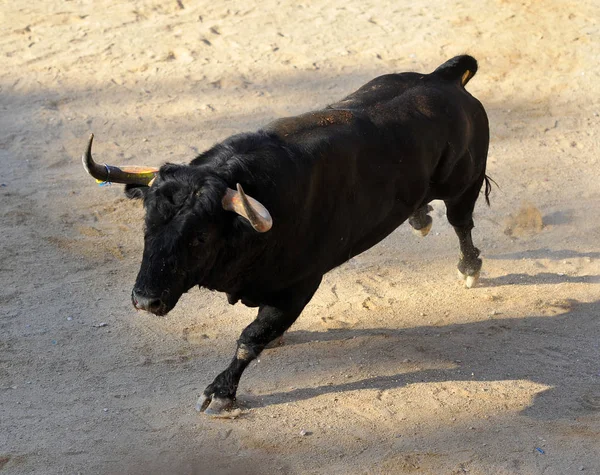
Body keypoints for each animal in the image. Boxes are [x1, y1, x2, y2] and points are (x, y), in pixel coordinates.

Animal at [82, 55, 490, 414]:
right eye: (147, 227)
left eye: (198, 238)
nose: (144, 301)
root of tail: (442, 78)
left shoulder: (300, 286)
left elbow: (249, 339)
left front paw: (220, 393)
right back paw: (420, 217)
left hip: (464, 184)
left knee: (461, 223)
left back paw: (469, 268)